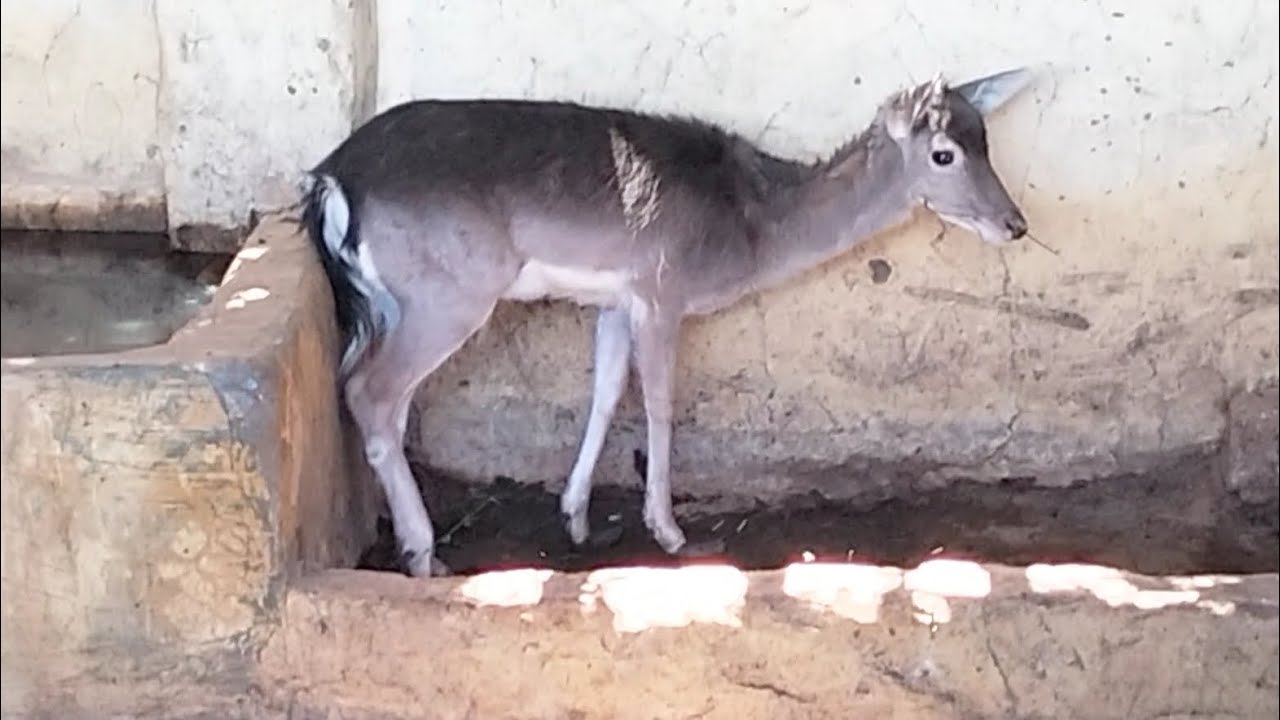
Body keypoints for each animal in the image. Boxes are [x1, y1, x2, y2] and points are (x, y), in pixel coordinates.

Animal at [301, 68, 1035, 577]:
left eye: (986, 140)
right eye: (943, 153)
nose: (1016, 224)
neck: (751, 225)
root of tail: (332, 180)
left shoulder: (616, 299)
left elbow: (603, 392)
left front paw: (575, 516)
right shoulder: (662, 289)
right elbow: (659, 401)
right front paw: (669, 529)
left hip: (397, 300)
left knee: (377, 396)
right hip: (448, 291)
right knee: (370, 391)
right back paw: (424, 551)